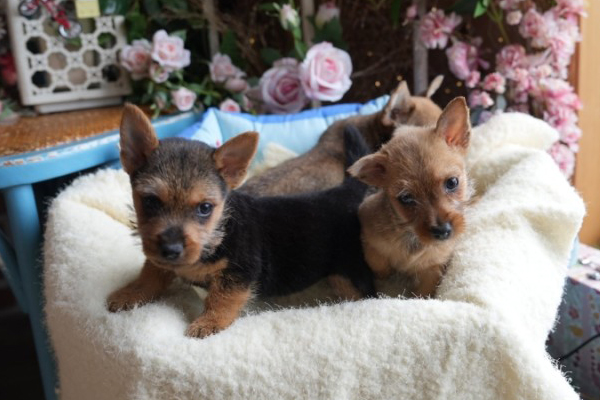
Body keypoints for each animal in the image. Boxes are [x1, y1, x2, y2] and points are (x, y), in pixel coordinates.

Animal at [107, 104, 375, 338]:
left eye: (205, 208)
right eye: (151, 201)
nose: (171, 249)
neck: (218, 234)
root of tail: (346, 191)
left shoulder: (239, 272)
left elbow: (221, 298)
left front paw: (208, 323)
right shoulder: (161, 260)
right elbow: (150, 274)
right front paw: (129, 294)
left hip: (350, 273)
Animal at [348, 97, 472, 298]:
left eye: (452, 182)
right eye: (406, 198)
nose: (443, 231)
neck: (411, 237)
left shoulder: (433, 268)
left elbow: (423, 291)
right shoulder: (367, 236)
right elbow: (378, 263)